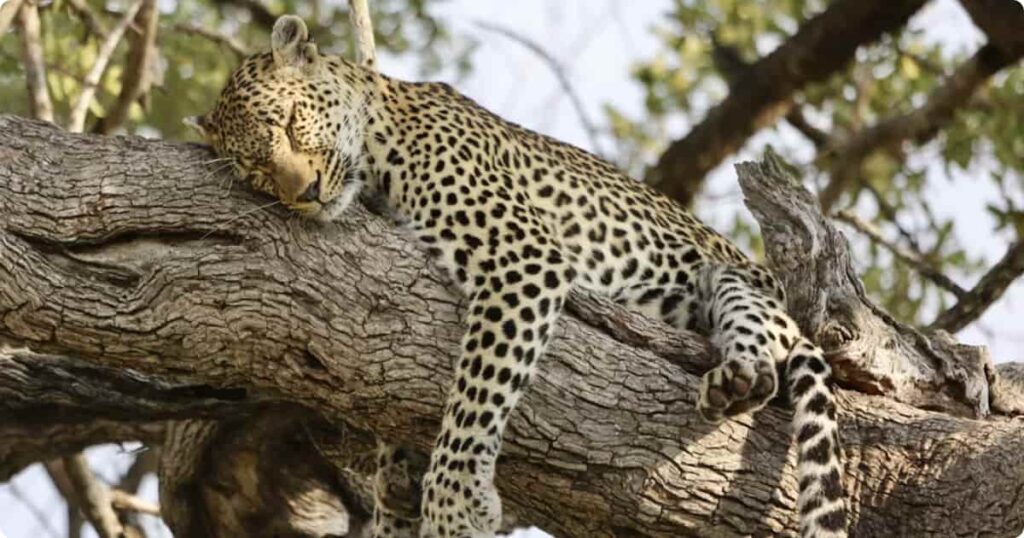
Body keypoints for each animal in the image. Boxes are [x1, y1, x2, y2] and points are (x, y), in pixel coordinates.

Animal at [187, 14, 847, 538]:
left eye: (291, 122)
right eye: (255, 171)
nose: (304, 193)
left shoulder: (520, 254)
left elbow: (476, 390)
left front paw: (453, 499)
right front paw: (396, 482)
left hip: (734, 276)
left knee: (773, 332)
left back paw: (741, 376)